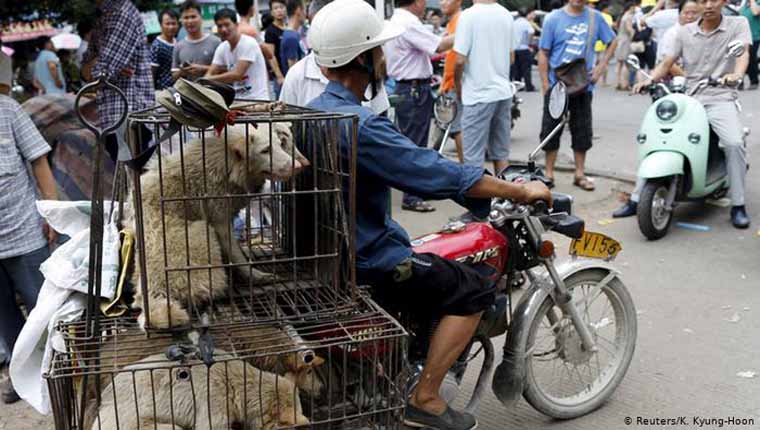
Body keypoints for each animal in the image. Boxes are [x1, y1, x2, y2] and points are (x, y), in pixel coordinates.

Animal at [126, 122, 310, 330]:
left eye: (280, 144)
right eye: (265, 150)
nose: (300, 165)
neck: (229, 163)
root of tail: (150, 294)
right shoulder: (220, 223)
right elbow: (239, 258)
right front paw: (255, 275)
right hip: (202, 232)